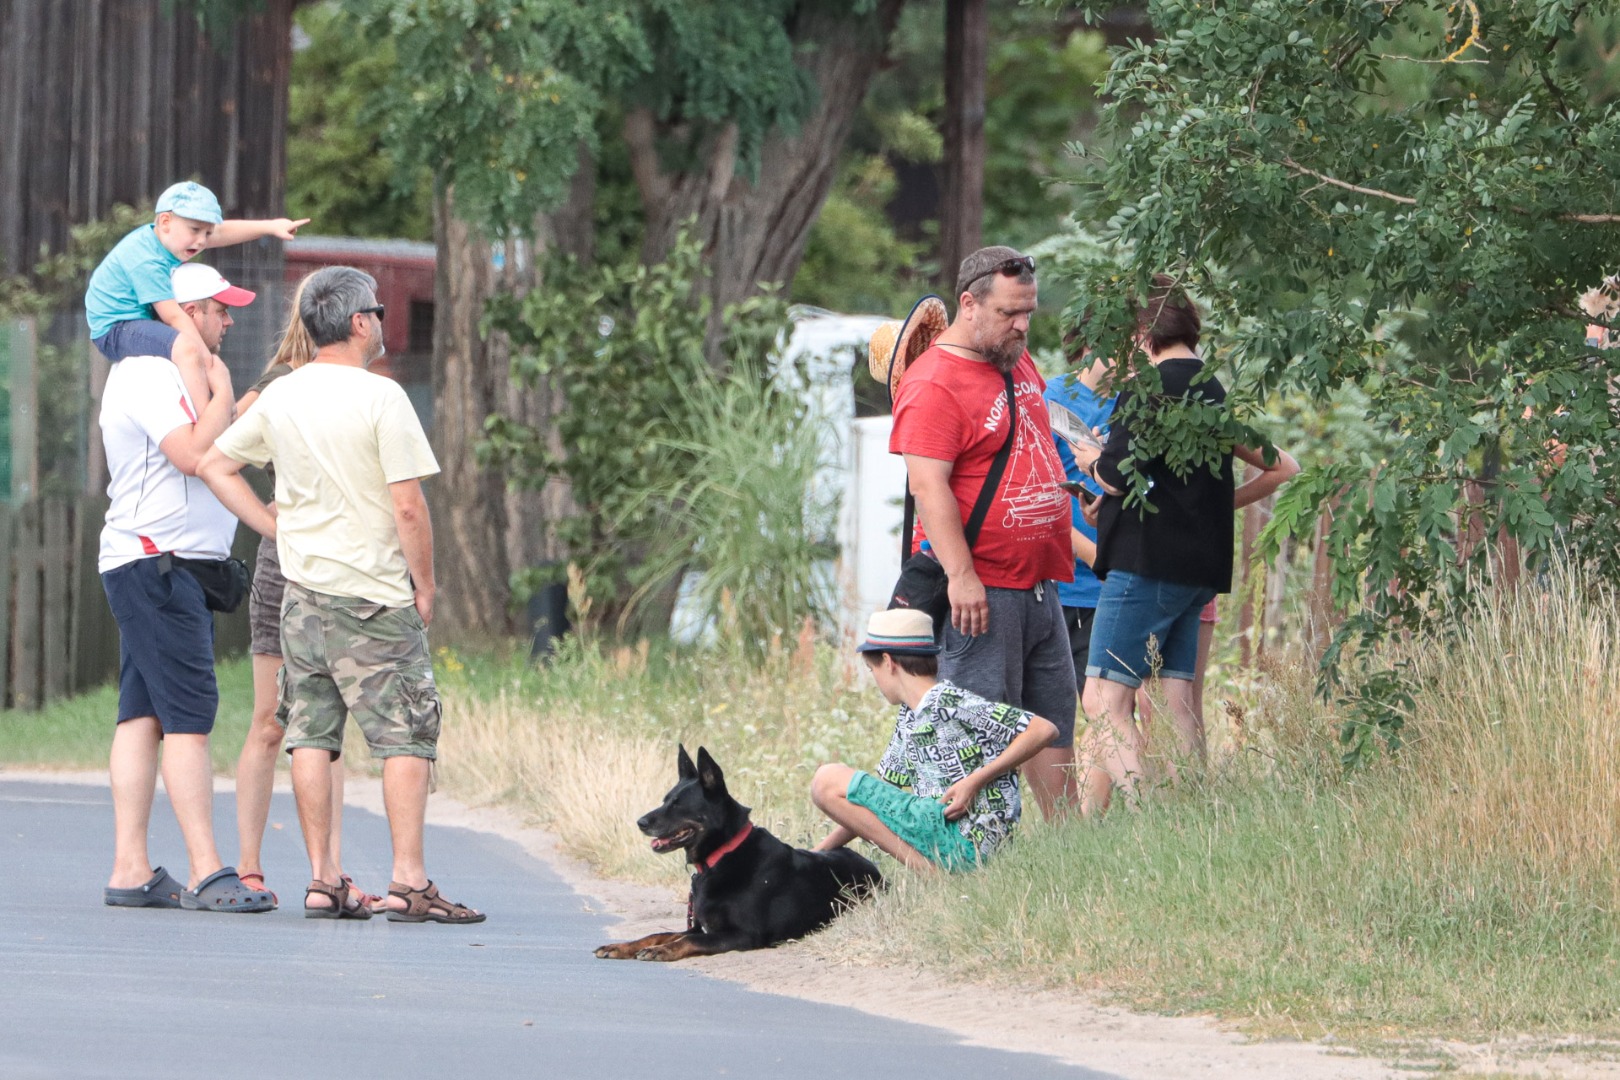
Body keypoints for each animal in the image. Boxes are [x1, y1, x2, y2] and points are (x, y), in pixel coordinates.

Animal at [596, 744, 881, 965]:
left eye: (678, 804)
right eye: (665, 799)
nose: (640, 822)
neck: (721, 855)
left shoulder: (742, 934)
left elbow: (687, 939)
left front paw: (662, 950)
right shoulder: (698, 925)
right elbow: (658, 933)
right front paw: (621, 946)